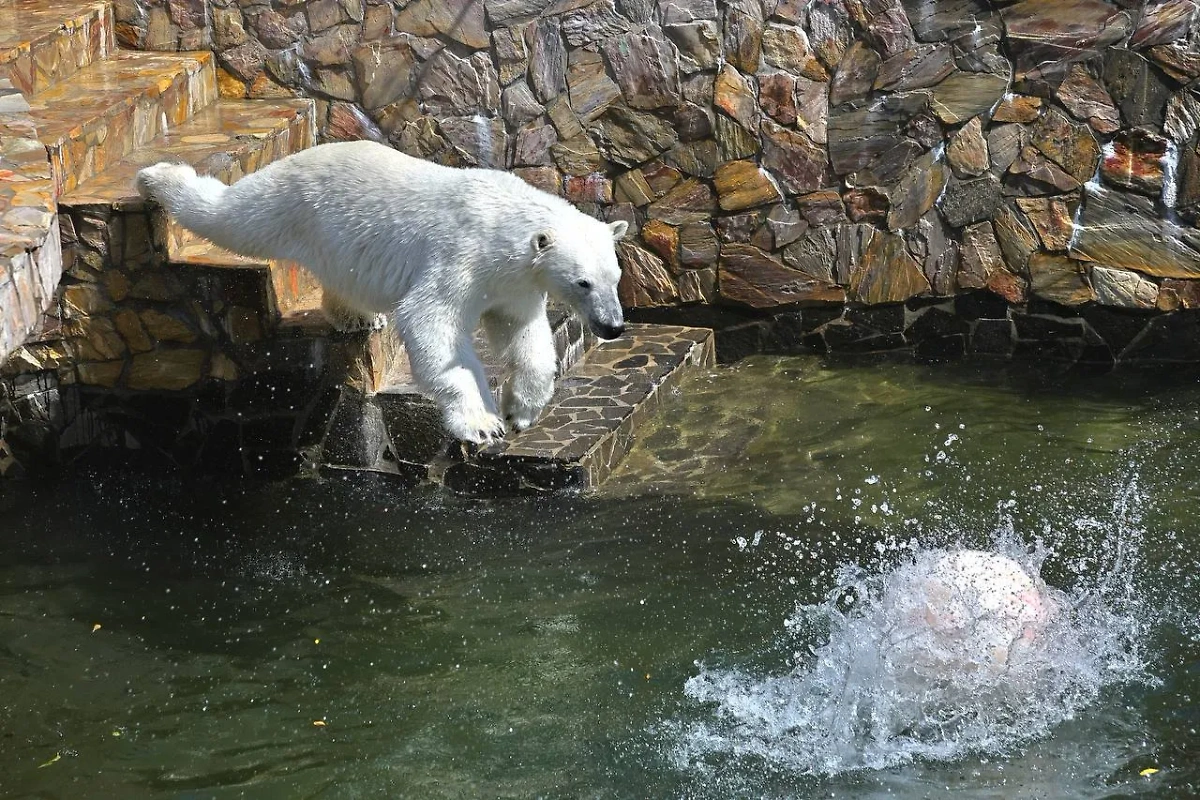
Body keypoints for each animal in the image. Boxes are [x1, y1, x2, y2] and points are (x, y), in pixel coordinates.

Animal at [137, 142, 628, 443]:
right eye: (583, 282)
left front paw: (519, 410)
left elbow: (522, 335)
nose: (613, 326)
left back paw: (357, 316)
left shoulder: (513, 282)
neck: (500, 223)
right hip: (290, 201)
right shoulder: (463, 258)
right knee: (231, 215)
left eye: (615, 277)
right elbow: (431, 323)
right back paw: (157, 178)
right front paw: (482, 423)